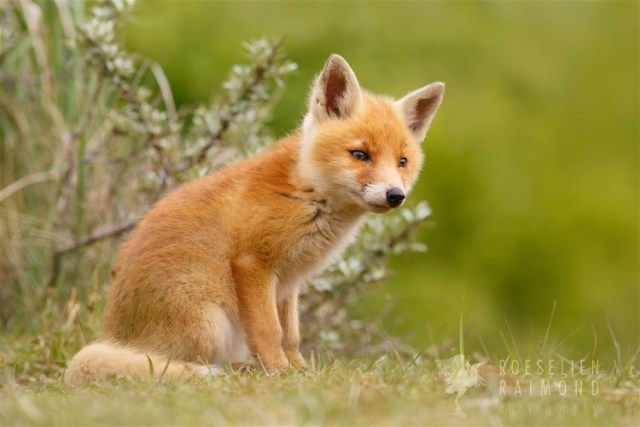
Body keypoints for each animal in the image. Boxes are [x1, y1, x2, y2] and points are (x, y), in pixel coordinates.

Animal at [65, 54, 444, 385]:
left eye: (403, 161)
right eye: (360, 155)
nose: (395, 195)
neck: (305, 192)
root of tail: (114, 335)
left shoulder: (288, 282)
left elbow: (291, 336)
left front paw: (301, 372)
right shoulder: (253, 264)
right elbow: (269, 332)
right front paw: (279, 372)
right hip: (210, 321)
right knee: (178, 364)